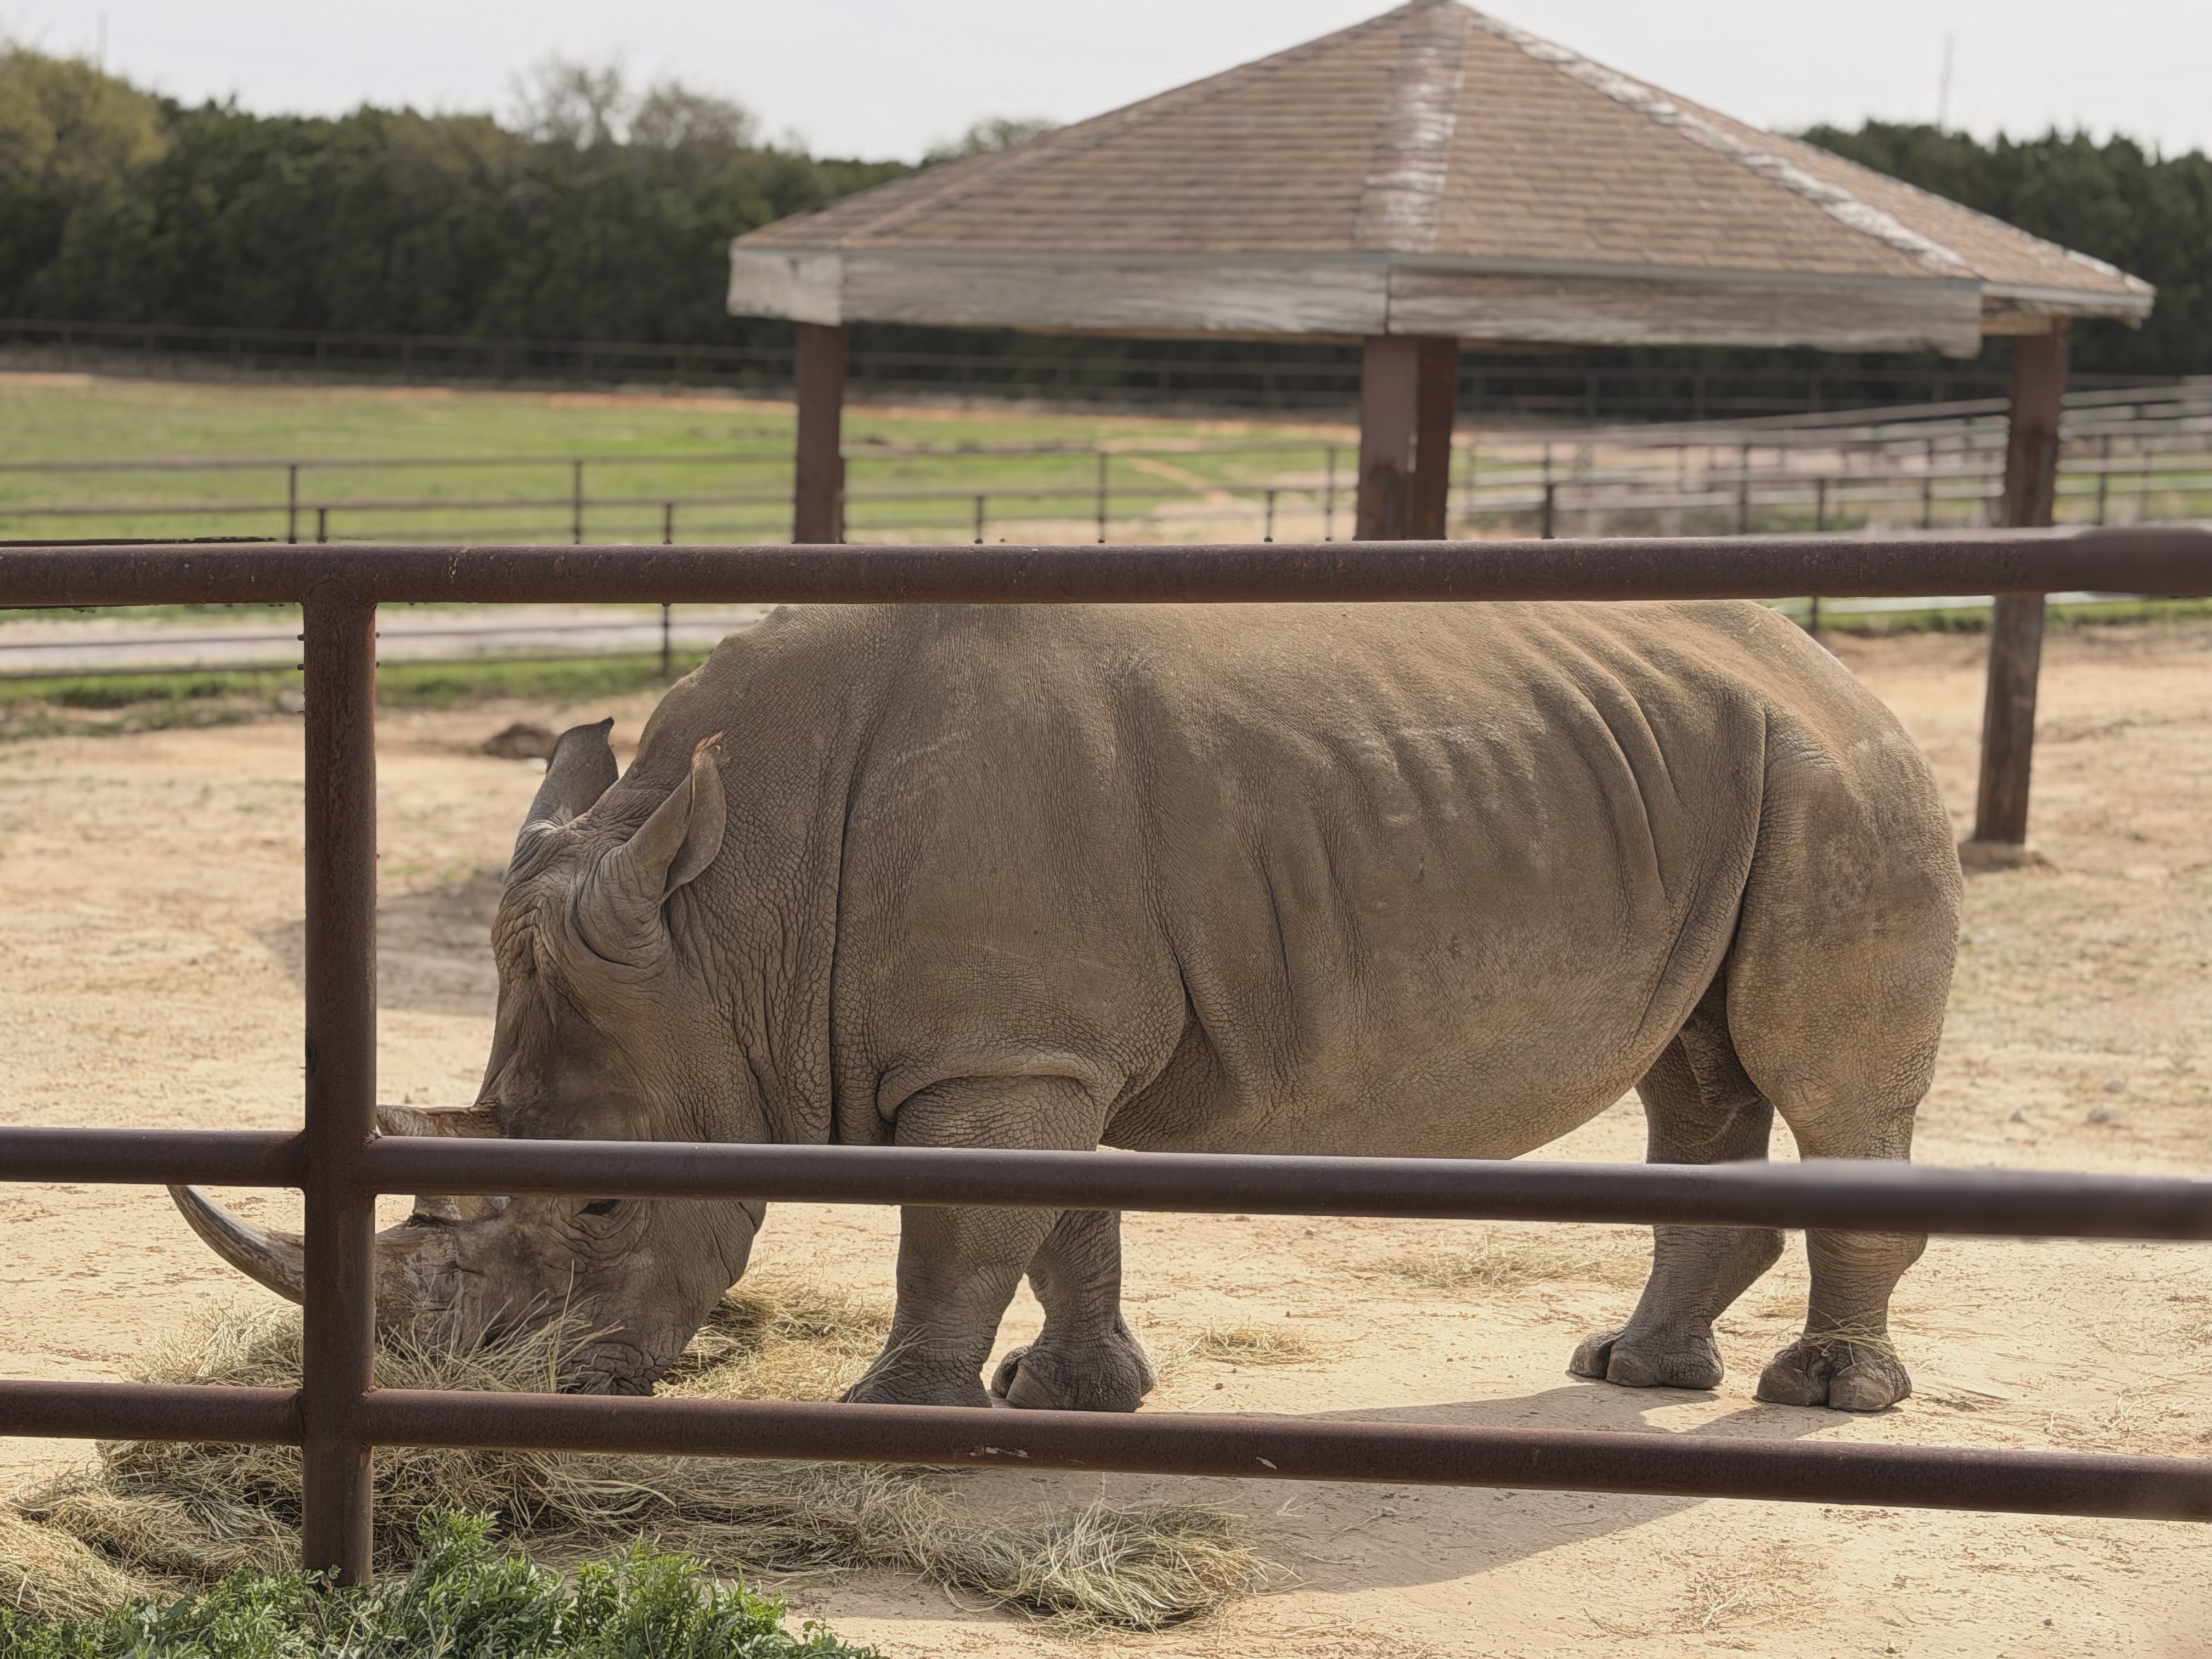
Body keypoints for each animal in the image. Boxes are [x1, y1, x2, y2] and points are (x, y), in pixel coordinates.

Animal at [176, 600, 1960, 1412]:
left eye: (606, 1201)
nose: (536, 1385)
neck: (729, 916)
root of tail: (1842, 671)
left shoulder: (1004, 1051)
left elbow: (963, 1231)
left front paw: (896, 1413)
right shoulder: (1040, 1051)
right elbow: (1062, 1223)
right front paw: (1074, 1398)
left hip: (1842, 788)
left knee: (1832, 1092)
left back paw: (1822, 1399)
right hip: (1726, 776)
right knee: (1701, 1080)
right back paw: (1633, 1374)